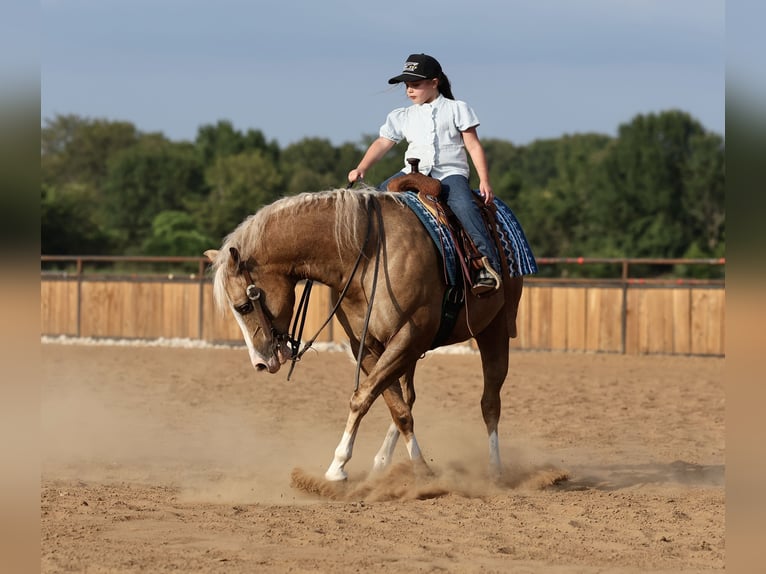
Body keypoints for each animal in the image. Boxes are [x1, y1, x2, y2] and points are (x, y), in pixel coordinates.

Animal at [205, 186, 528, 482]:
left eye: (244, 305)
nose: (260, 362)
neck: (366, 256)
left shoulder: (407, 338)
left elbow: (363, 398)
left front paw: (338, 467)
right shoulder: (369, 346)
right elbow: (395, 407)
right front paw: (410, 466)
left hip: (494, 329)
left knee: (490, 401)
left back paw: (495, 469)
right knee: (409, 397)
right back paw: (383, 461)